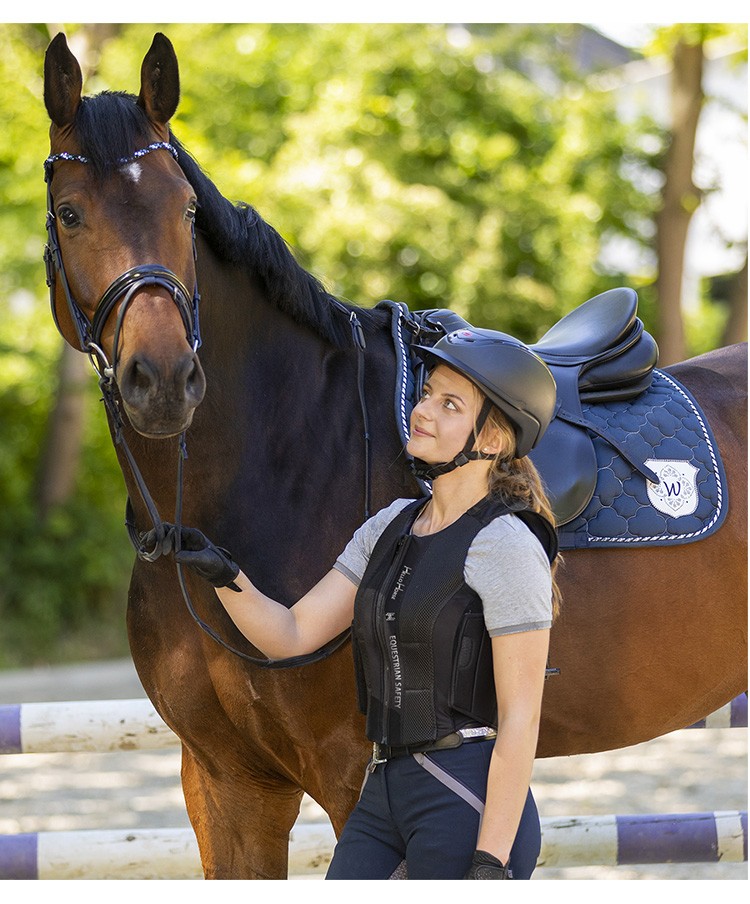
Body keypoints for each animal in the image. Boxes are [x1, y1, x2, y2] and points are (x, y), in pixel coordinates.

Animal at [42, 33, 747, 878]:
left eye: (184, 209)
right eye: (70, 213)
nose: (165, 380)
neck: (279, 464)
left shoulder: (352, 775)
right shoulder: (225, 782)